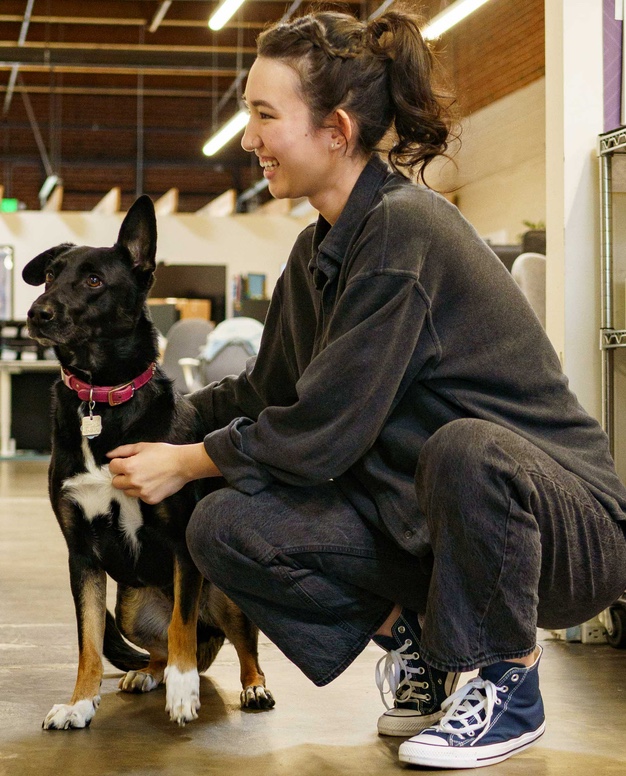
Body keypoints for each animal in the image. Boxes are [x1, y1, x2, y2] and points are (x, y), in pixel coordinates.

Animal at [23, 195, 274, 729]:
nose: (37, 312)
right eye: (51, 274)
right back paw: (148, 673)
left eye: (94, 281)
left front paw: (183, 691)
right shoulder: (81, 556)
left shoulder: (181, 543)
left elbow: (180, 624)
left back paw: (249, 685)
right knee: (156, 645)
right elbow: (89, 643)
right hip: (131, 603)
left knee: (233, 642)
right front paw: (80, 702)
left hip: (222, 594)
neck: (100, 397)